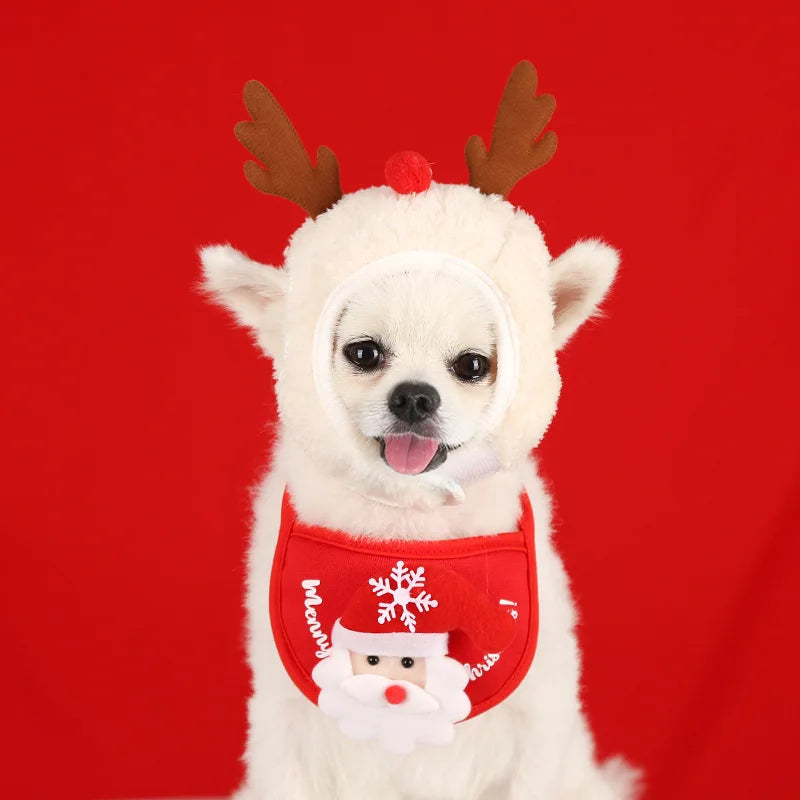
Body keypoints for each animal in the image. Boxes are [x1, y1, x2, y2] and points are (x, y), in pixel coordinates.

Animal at [200, 62, 636, 800]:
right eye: (364, 353)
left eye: (473, 366)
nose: (413, 396)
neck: (408, 534)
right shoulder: (287, 727)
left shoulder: (536, 723)